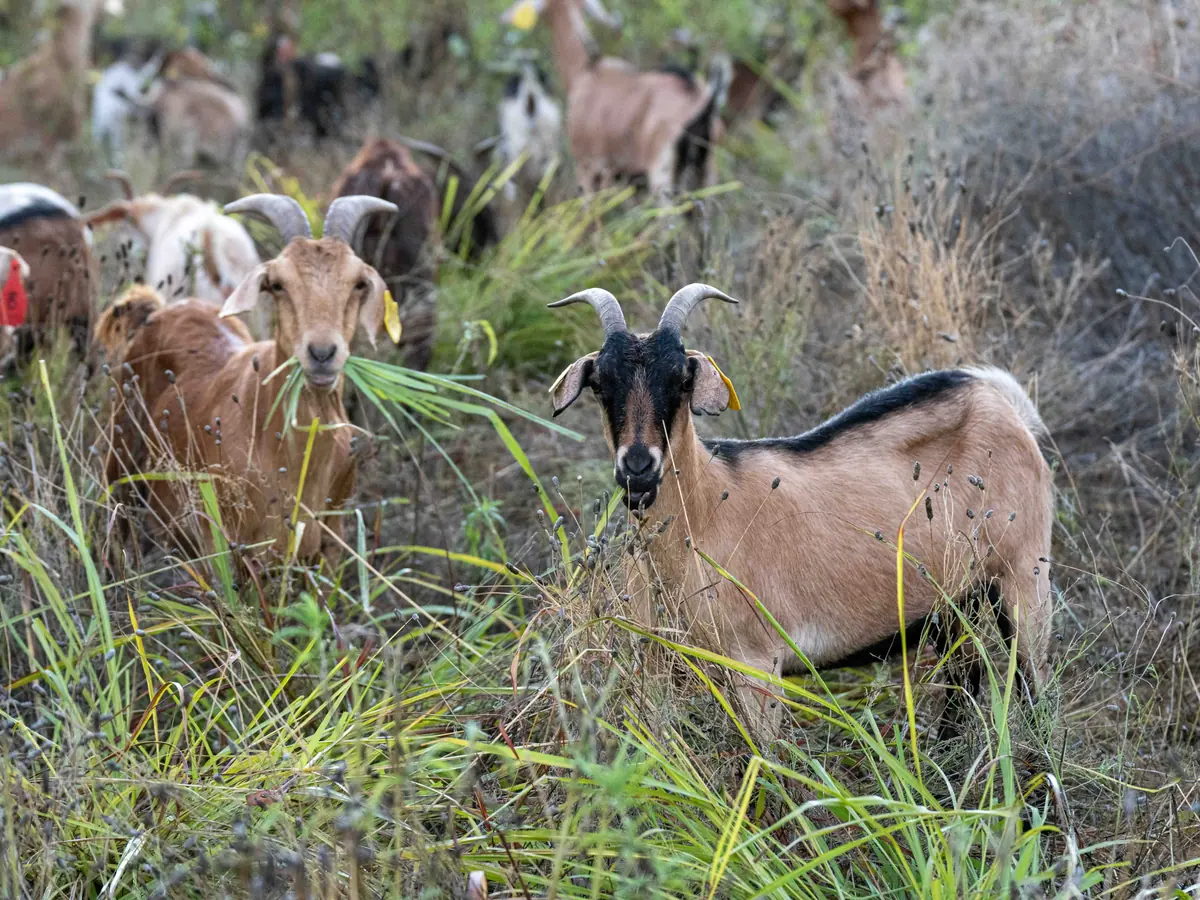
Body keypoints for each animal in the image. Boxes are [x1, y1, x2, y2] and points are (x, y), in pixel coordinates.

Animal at [100, 193, 396, 562]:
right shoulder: (231, 546)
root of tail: (158, 311)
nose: (322, 353)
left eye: (358, 283)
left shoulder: (329, 544)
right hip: (120, 468)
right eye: (278, 284)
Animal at [502, 0, 727, 199]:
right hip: (706, 176)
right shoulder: (625, 179)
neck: (586, 71)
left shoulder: (589, 169)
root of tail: (702, 101)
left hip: (662, 179)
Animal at [547, 285, 1055, 738]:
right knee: (966, 675)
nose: (638, 467)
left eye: (681, 380)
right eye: (601, 384)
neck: (706, 506)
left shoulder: (758, 665)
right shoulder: (660, 665)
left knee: (1032, 682)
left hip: (1024, 575)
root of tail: (1001, 401)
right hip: (954, 602)